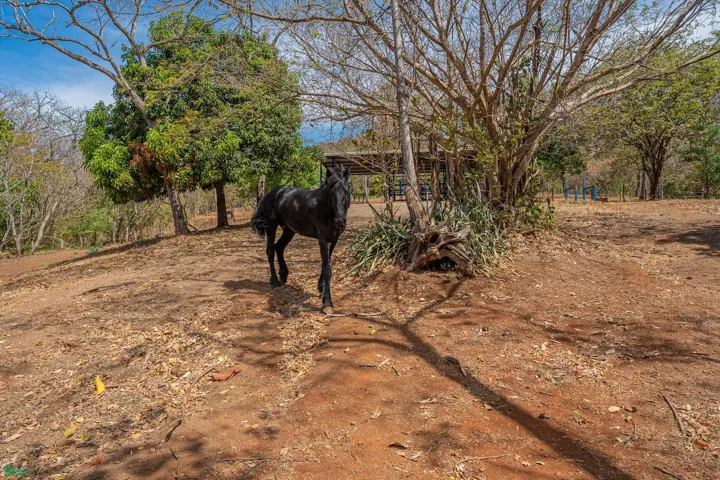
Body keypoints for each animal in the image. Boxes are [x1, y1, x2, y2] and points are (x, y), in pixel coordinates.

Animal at [251, 164, 351, 314]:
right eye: (331, 193)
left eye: (347, 192)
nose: (340, 222)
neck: (325, 209)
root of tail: (269, 194)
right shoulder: (323, 239)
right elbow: (327, 269)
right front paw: (327, 303)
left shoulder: (333, 240)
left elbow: (325, 264)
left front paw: (321, 288)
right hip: (271, 227)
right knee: (270, 251)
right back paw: (275, 281)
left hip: (289, 230)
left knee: (279, 247)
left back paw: (283, 274)